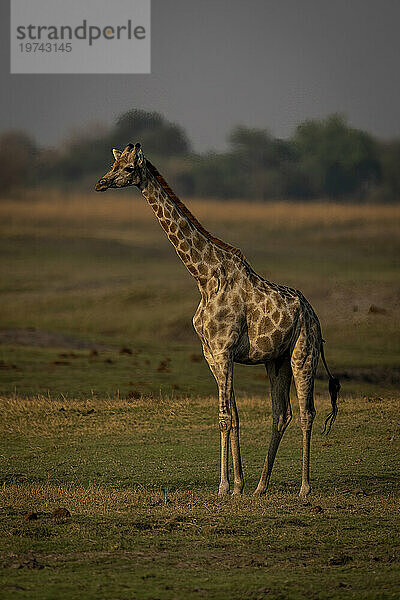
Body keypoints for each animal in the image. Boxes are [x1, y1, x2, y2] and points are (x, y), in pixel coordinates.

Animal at [95, 141, 340, 496]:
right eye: (113, 163)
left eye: (128, 168)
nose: (101, 183)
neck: (205, 277)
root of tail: (314, 316)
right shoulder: (212, 353)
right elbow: (233, 415)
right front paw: (238, 484)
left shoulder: (224, 351)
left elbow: (225, 416)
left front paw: (224, 486)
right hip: (276, 359)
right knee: (281, 414)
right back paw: (261, 487)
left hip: (303, 354)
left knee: (307, 412)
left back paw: (305, 488)